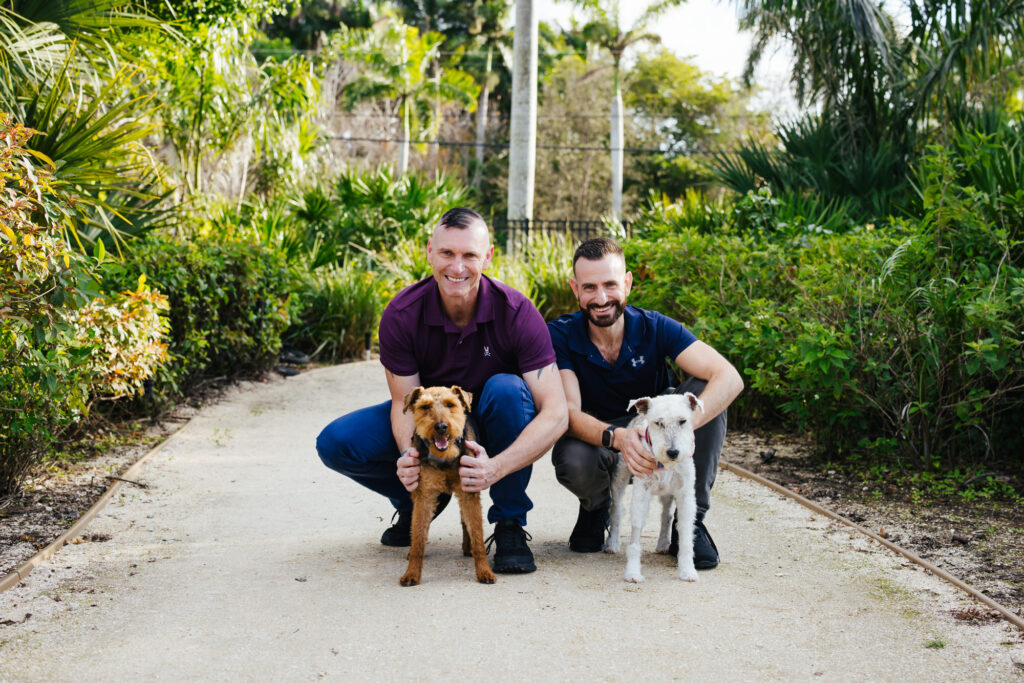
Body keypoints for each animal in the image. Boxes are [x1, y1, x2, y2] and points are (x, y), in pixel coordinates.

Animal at [397, 385, 497, 589]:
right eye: (425, 406)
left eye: (450, 404)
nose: (441, 427)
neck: (444, 458)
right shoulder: (424, 495)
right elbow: (418, 536)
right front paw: (411, 574)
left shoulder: (469, 491)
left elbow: (477, 535)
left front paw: (484, 572)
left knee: (466, 523)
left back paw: (468, 548)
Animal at [606, 389, 704, 581]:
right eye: (658, 423)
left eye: (683, 421)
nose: (673, 452)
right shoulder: (641, 493)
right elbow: (636, 532)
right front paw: (633, 572)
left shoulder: (685, 494)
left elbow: (685, 532)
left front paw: (687, 570)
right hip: (620, 476)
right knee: (616, 509)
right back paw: (612, 543)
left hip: (668, 494)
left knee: (666, 515)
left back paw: (663, 543)